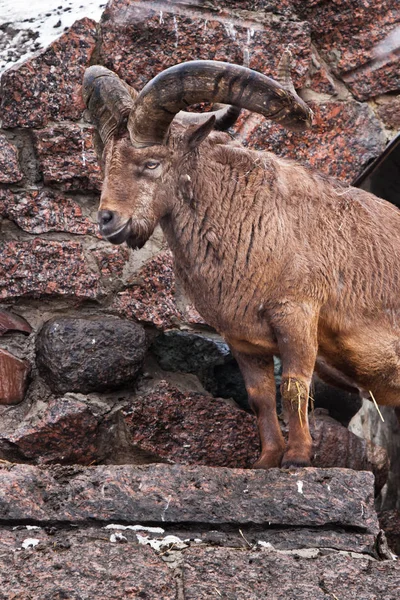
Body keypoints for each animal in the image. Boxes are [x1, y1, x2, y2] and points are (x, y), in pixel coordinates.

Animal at [83, 56, 400, 468]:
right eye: (106, 161)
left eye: (152, 163)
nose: (108, 220)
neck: (253, 217)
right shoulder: (243, 339)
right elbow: (261, 398)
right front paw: (267, 460)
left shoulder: (297, 313)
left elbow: (294, 385)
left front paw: (297, 458)